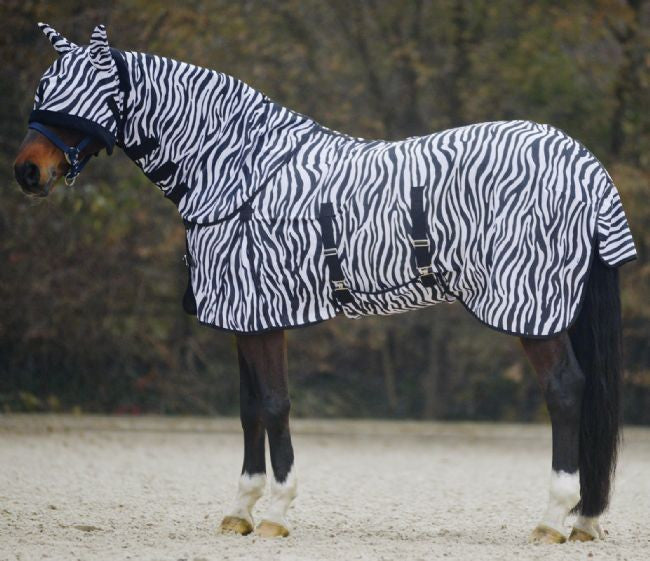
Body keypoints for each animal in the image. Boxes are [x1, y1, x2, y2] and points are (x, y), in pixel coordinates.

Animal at [14, 23, 637, 543]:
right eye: (45, 84)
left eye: (82, 92)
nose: (27, 172)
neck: (237, 171)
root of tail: (585, 166)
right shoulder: (245, 318)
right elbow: (248, 407)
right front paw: (240, 510)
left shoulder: (262, 314)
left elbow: (274, 404)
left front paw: (275, 513)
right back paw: (584, 520)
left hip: (535, 309)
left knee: (565, 391)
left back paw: (553, 519)